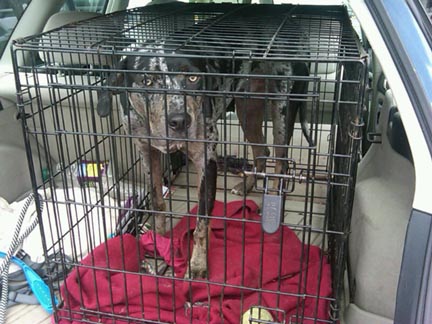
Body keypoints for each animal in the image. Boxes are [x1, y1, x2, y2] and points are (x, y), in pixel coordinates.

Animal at [96, 45, 312, 278]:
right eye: (147, 81)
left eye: (193, 77)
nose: (180, 121)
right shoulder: (147, 154)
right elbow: (157, 202)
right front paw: (156, 245)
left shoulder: (205, 160)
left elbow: (201, 222)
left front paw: (198, 265)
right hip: (247, 107)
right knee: (261, 150)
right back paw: (246, 185)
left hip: (282, 112)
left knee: (282, 164)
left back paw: (273, 207)